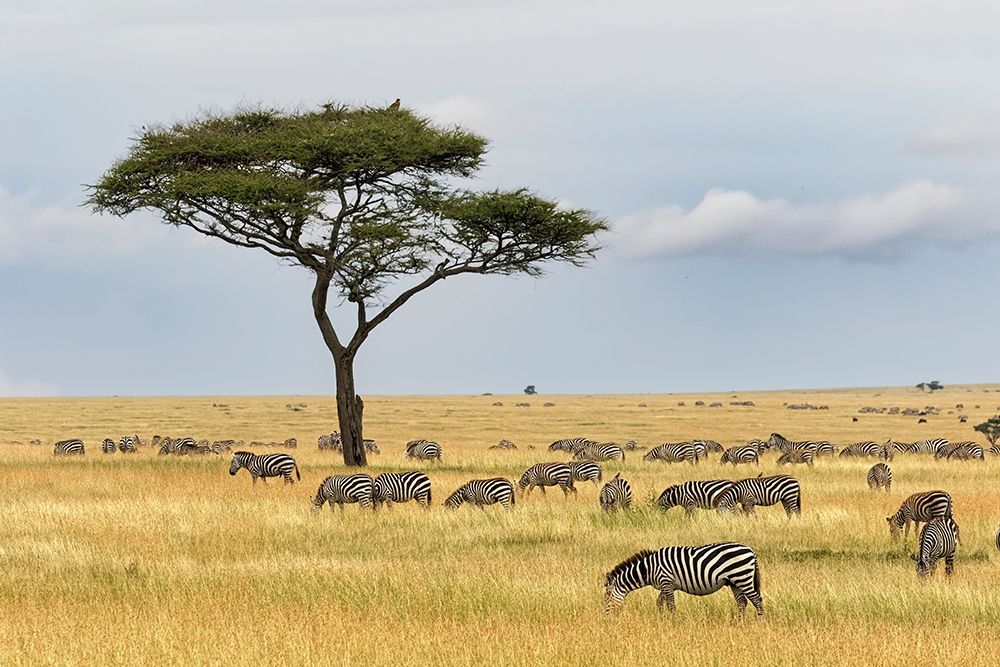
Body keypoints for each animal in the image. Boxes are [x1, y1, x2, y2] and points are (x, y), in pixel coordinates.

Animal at [604, 543, 764, 619]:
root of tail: (750, 550)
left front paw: (673, 621)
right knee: (742, 602)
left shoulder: (666, 581)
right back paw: (740, 623)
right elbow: (659, 603)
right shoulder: (665, 585)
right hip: (735, 582)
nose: (606, 620)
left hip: (742, 577)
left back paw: (760, 622)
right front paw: (661, 618)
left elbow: (670, 605)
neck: (649, 568)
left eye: (607, 598)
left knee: (757, 600)